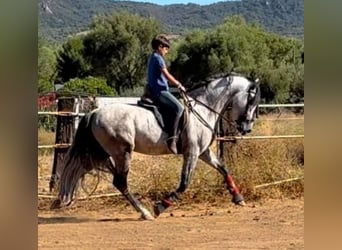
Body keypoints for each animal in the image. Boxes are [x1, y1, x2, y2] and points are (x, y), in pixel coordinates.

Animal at [50, 73, 260, 220]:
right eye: (251, 101)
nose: (247, 128)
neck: (203, 108)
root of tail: (93, 113)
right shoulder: (191, 153)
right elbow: (184, 184)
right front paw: (161, 206)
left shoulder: (204, 152)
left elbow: (224, 169)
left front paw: (238, 198)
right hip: (122, 153)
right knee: (120, 182)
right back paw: (145, 213)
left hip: (102, 153)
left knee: (85, 172)